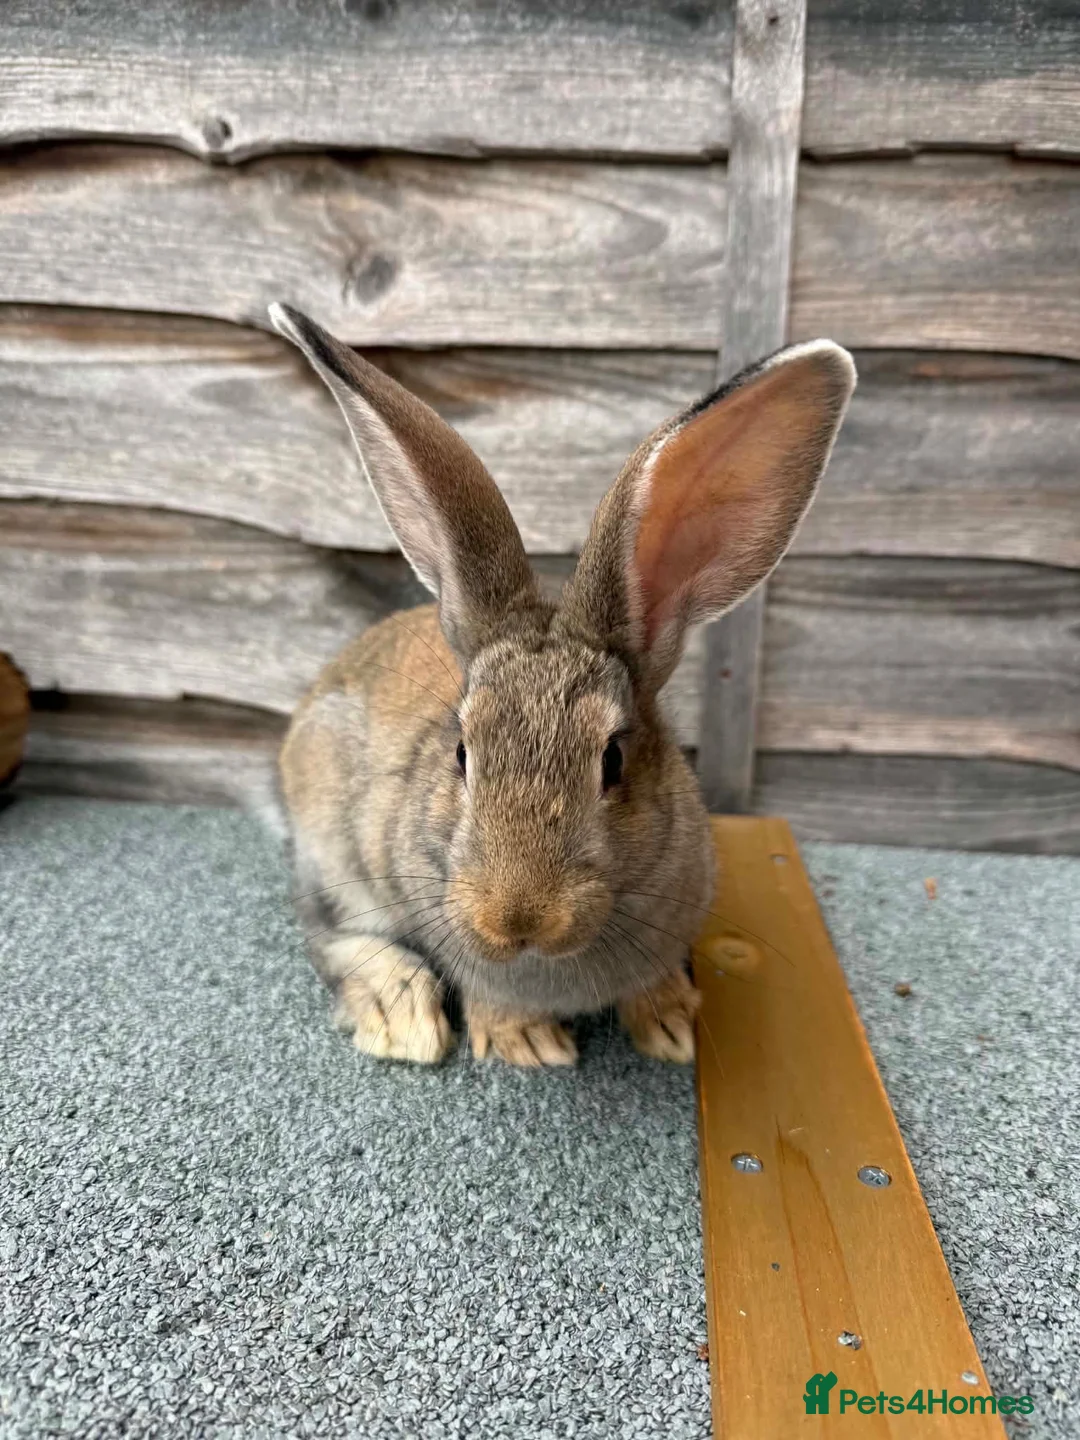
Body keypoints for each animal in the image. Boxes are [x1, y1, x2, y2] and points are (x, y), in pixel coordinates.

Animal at [268, 302, 855, 1068]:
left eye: (613, 760)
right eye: (462, 755)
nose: (518, 917)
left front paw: (672, 1028)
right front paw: (526, 1040)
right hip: (332, 846)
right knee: (325, 928)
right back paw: (402, 1018)